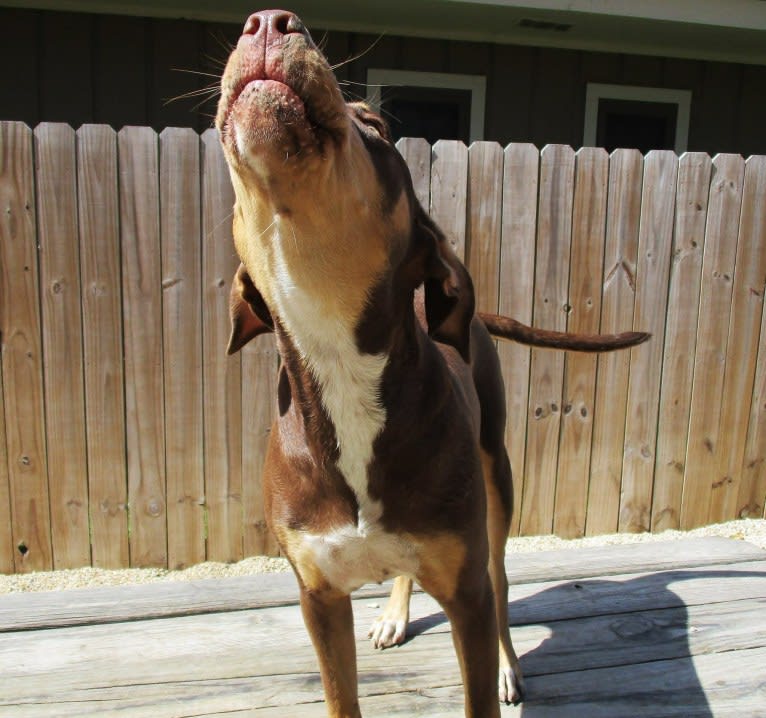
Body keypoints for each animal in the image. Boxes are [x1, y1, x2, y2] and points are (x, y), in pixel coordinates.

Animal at [214, 8, 648, 716]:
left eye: (376, 126)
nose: (269, 21)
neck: (336, 354)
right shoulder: (318, 598)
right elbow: (341, 695)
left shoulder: (465, 586)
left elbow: (479, 646)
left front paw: (493, 675)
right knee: (410, 574)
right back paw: (395, 611)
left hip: (496, 483)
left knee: (502, 580)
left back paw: (508, 666)